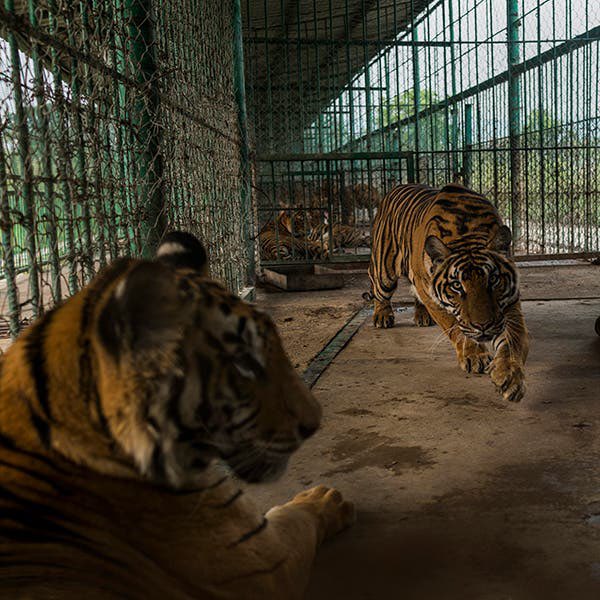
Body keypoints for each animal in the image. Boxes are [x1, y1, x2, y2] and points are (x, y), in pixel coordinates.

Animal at [366, 183, 528, 404]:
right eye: (457, 286)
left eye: (493, 279)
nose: (483, 326)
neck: (467, 233)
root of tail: (397, 186)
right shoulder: (431, 296)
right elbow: (455, 327)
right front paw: (475, 356)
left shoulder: (509, 302)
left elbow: (513, 339)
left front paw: (509, 376)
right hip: (384, 271)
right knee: (379, 290)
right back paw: (382, 316)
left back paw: (422, 316)